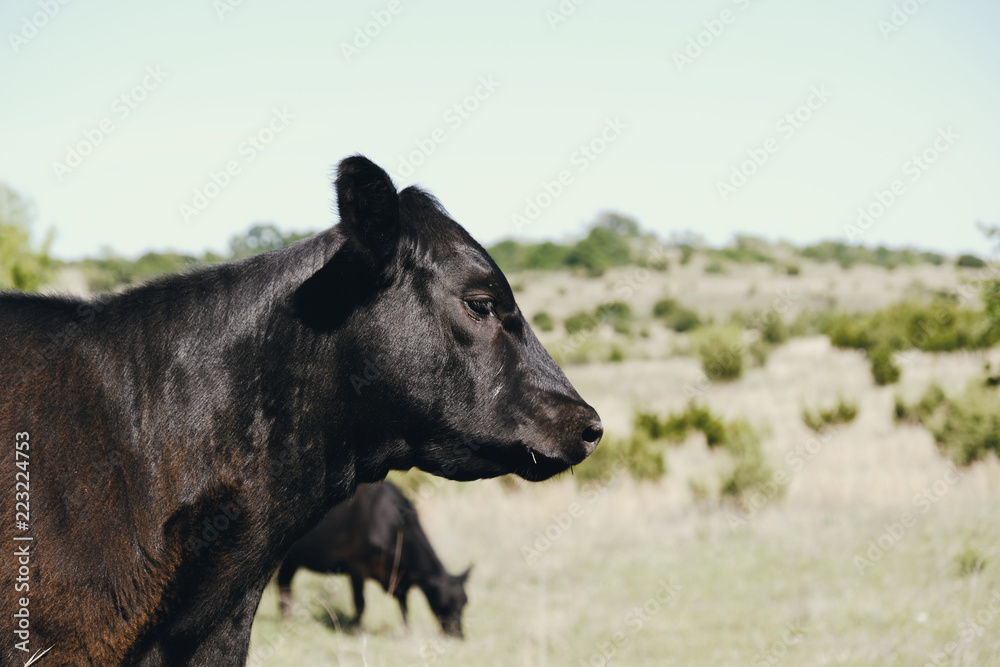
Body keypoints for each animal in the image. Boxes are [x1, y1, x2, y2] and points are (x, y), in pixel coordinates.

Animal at [277, 481, 469, 637]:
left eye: (465, 602)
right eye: (444, 602)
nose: (458, 635)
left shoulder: (401, 579)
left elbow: (404, 606)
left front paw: (406, 631)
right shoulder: (356, 567)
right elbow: (360, 603)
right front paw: (357, 630)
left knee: (284, 582)